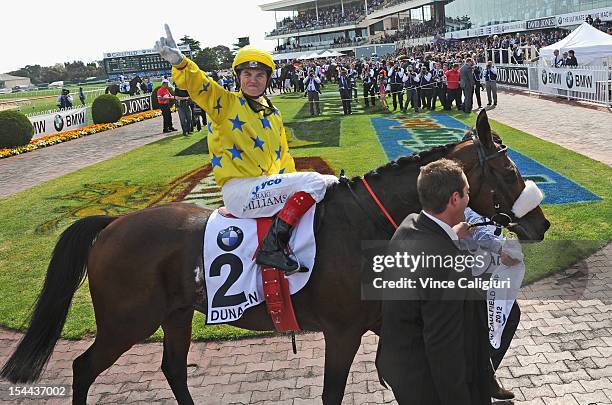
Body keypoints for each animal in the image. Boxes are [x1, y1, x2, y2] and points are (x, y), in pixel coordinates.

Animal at [0, 109, 552, 402]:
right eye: (508, 172)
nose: (542, 223)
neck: (364, 225)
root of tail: (111, 224)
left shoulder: (379, 319)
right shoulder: (343, 331)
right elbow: (334, 391)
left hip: (174, 314)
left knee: (173, 368)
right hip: (125, 322)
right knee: (82, 369)